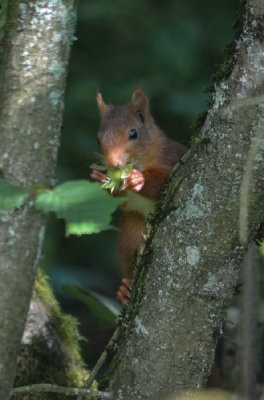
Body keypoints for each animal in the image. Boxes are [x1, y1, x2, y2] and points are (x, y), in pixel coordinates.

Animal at [91, 90, 188, 304]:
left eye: (133, 133)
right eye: (98, 139)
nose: (114, 164)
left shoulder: (172, 159)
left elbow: (162, 180)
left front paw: (138, 180)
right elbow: (121, 202)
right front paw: (101, 179)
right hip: (131, 230)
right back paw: (124, 290)